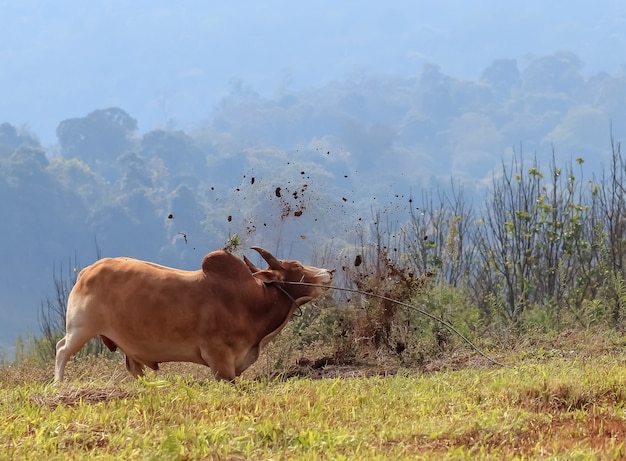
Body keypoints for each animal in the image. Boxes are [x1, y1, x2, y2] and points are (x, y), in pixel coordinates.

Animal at [54, 246, 332, 382]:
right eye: (296, 266)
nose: (329, 273)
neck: (250, 299)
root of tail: (87, 271)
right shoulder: (220, 361)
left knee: (133, 367)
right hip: (81, 329)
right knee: (61, 350)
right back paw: (59, 385)